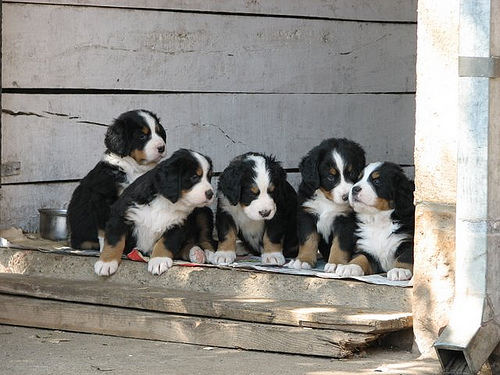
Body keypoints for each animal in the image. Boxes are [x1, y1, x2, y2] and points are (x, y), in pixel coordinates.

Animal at [67, 110, 166, 254]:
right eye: (142, 136)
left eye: (159, 132)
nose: (162, 147)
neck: (135, 168)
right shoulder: (103, 198)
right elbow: (105, 229)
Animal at [94, 148, 215, 278]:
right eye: (194, 177)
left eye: (209, 177)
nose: (210, 194)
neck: (166, 202)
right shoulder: (121, 213)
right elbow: (115, 241)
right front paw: (106, 262)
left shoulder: (178, 225)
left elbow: (166, 242)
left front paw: (159, 260)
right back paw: (196, 253)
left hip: (203, 213)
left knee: (205, 239)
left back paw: (206, 253)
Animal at [286, 138, 368, 274]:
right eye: (330, 177)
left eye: (352, 173)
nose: (346, 197)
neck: (327, 200)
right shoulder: (307, 215)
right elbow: (308, 239)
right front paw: (303, 260)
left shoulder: (346, 220)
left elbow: (339, 244)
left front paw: (336, 263)